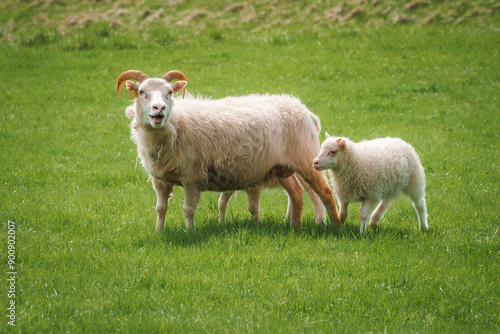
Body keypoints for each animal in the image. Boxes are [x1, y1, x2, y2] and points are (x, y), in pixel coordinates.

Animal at [115, 70, 340, 232]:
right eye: (142, 92)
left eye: (169, 93)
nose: (159, 109)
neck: (175, 124)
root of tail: (305, 110)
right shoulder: (159, 179)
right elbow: (161, 209)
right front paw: (159, 231)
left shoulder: (192, 177)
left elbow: (188, 210)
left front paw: (190, 232)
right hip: (280, 167)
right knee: (296, 194)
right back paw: (295, 227)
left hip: (307, 160)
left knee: (325, 192)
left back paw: (336, 226)